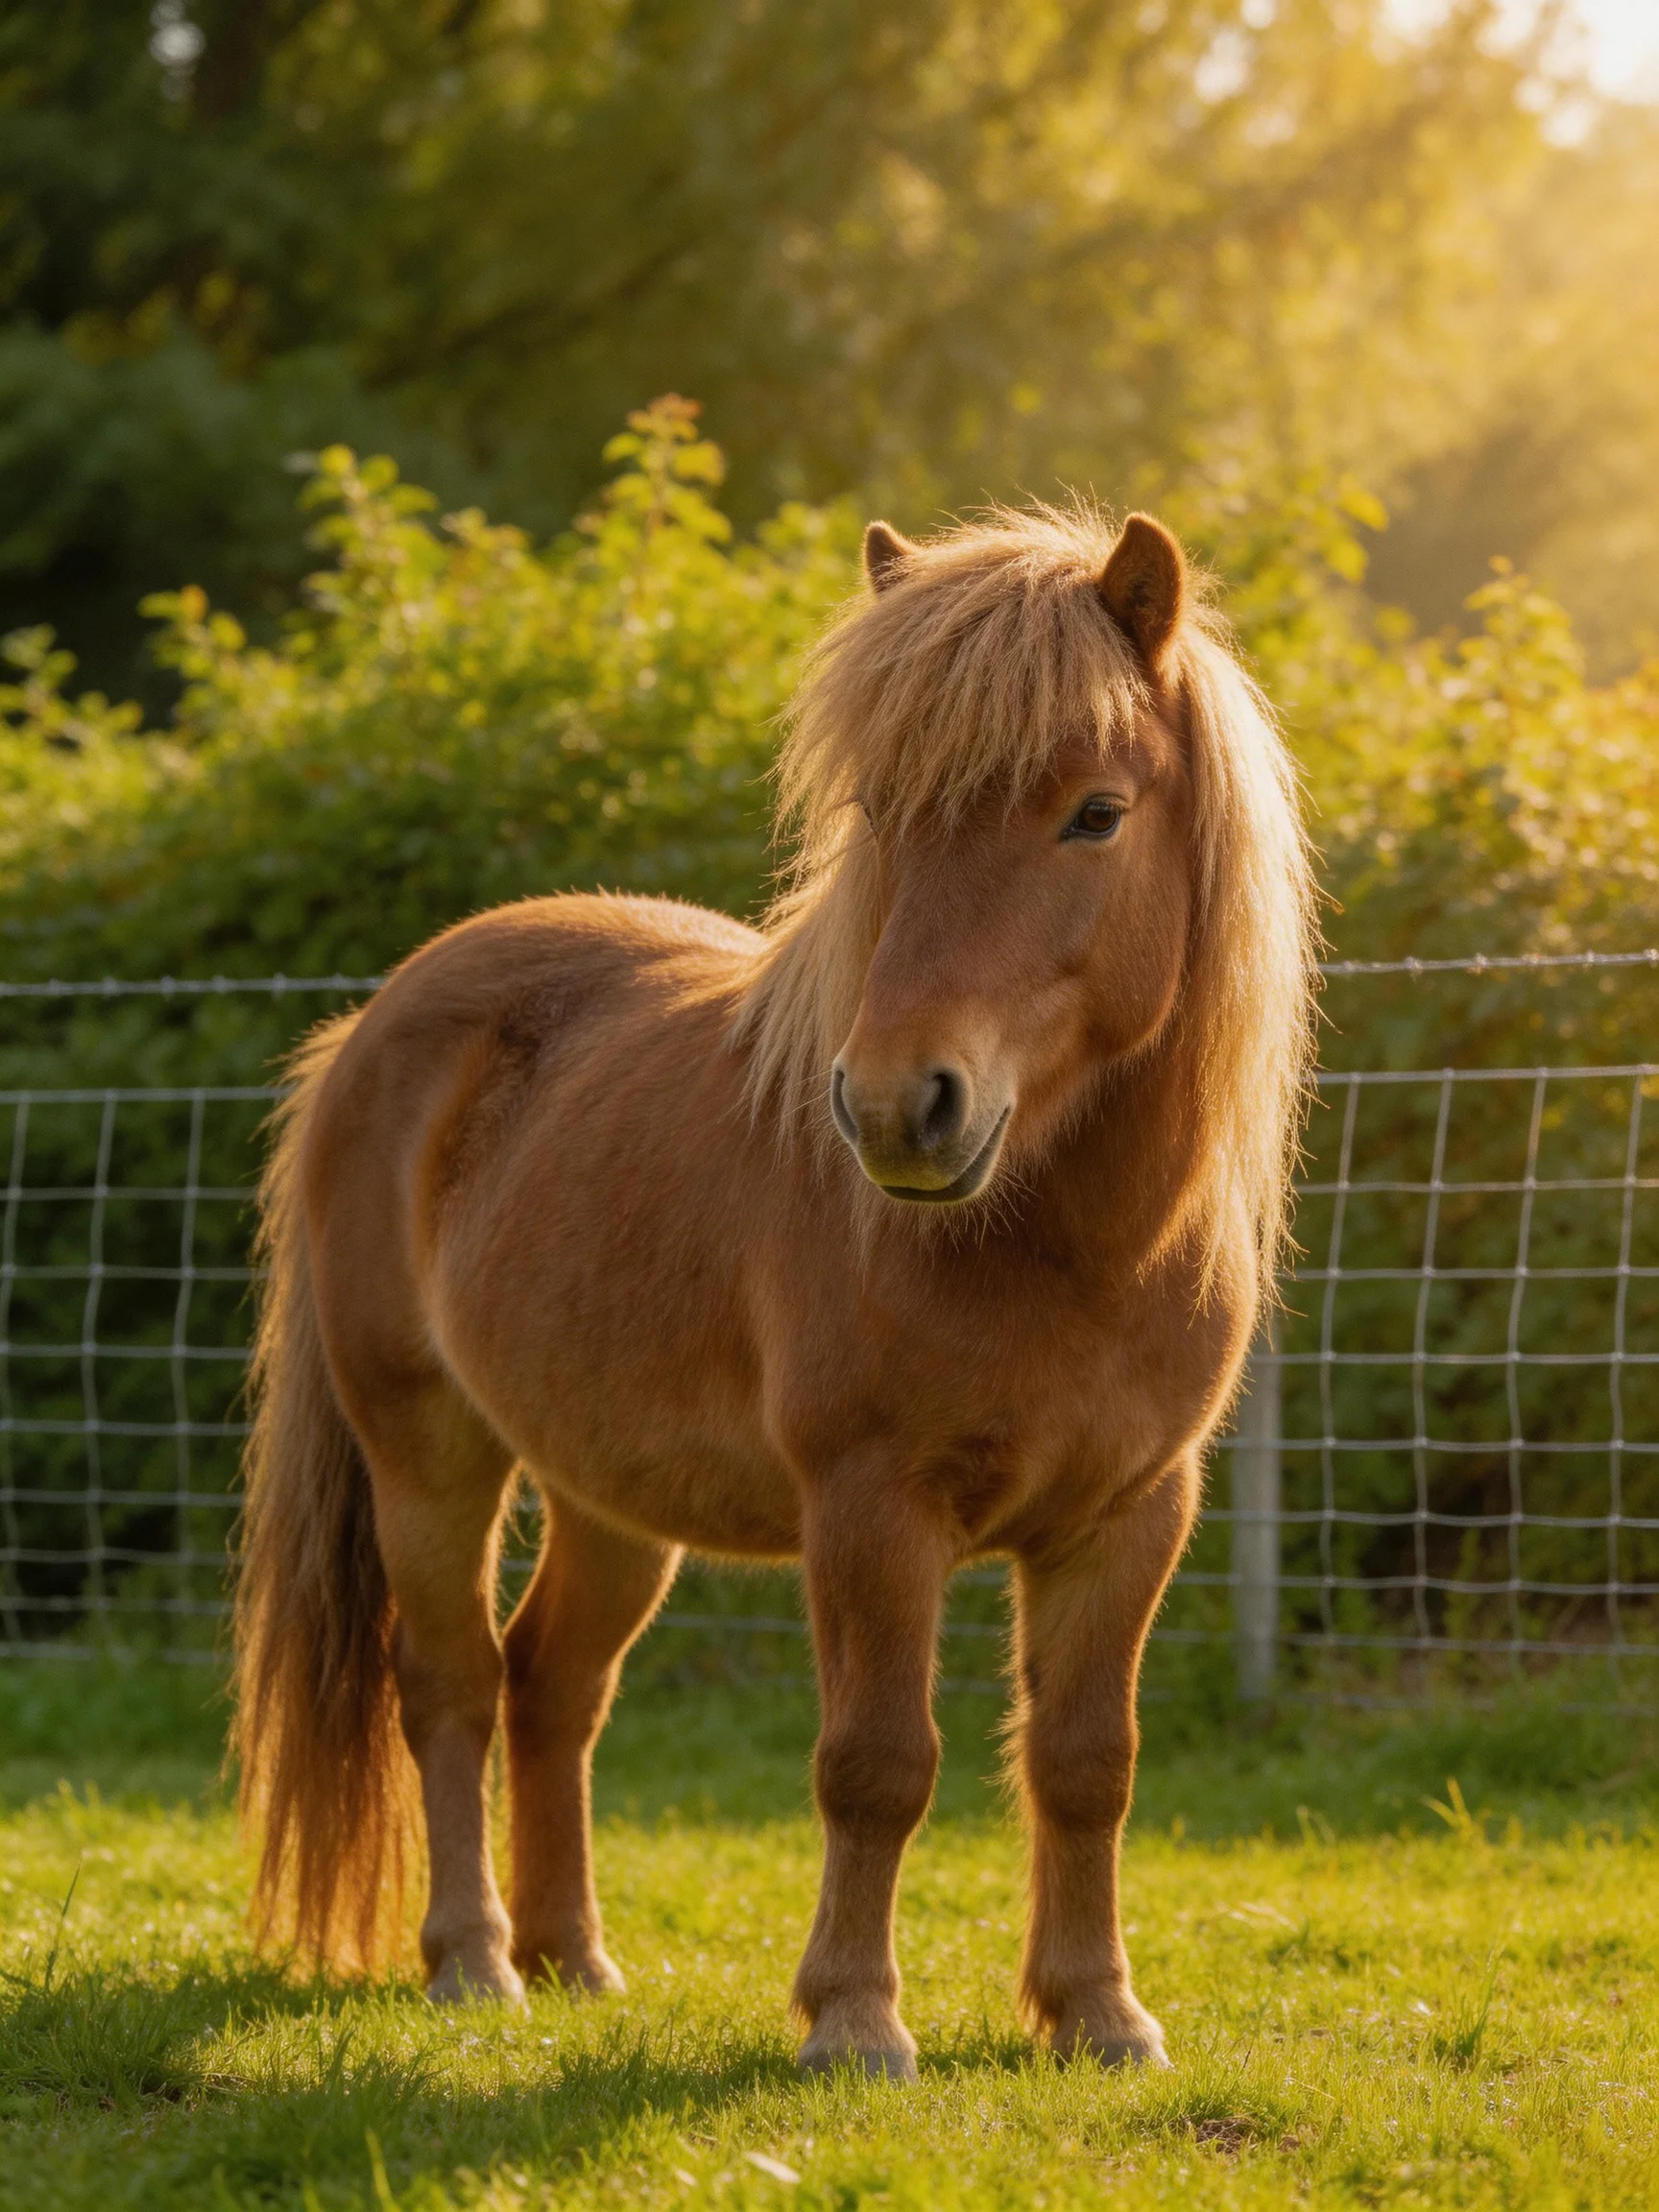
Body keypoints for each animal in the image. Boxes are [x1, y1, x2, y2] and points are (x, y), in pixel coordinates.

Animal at [232, 502, 1316, 2080]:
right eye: (881, 812)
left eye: (1096, 813)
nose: (894, 1108)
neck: (1061, 1250)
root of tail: (373, 1026)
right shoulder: (870, 1509)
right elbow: (877, 1765)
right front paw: (855, 2022)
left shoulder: (1131, 1516)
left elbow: (1084, 1765)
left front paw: (1099, 2016)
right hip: (427, 1453)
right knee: (446, 1683)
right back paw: (476, 1966)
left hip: (610, 1498)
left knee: (552, 1685)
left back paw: (574, 1960)